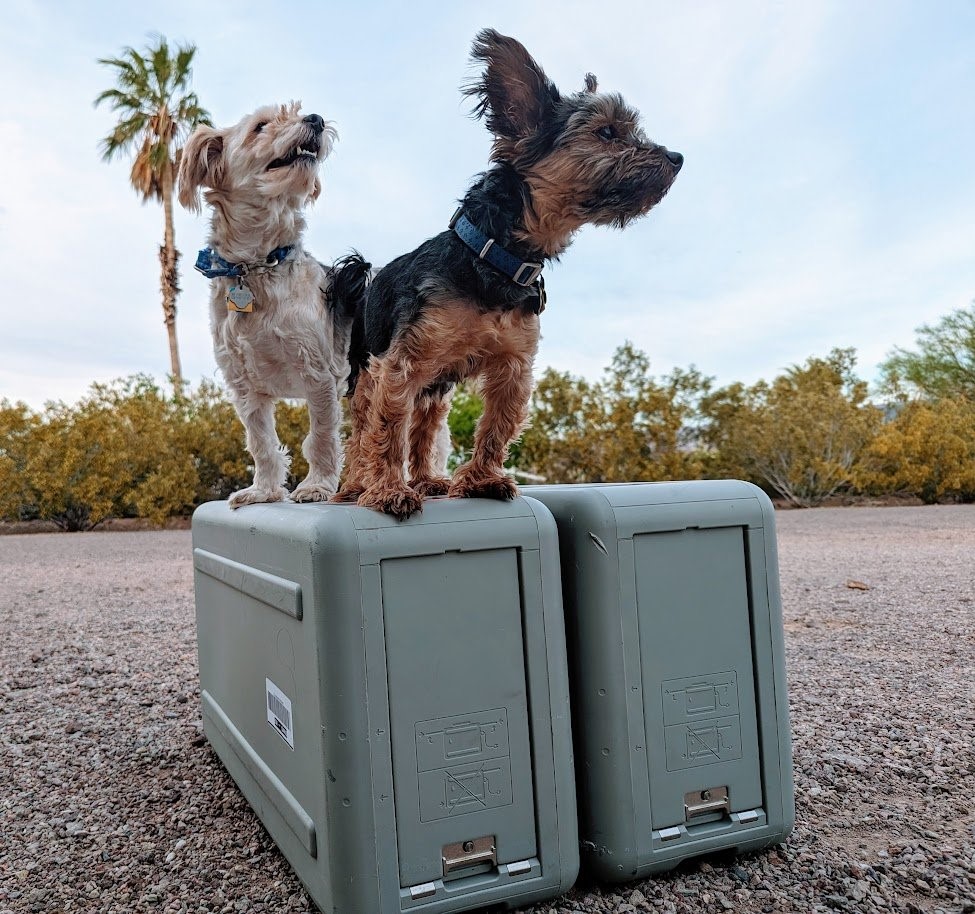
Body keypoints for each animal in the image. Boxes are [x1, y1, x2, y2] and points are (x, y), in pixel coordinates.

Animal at [177, 105, 372, 512]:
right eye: (260, 126)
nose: (315, 118)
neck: (256, 267)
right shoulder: (245, 386)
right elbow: (261, 443)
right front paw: (263, 491)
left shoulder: (318, 374)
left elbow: (321, 438)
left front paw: (317, 486)